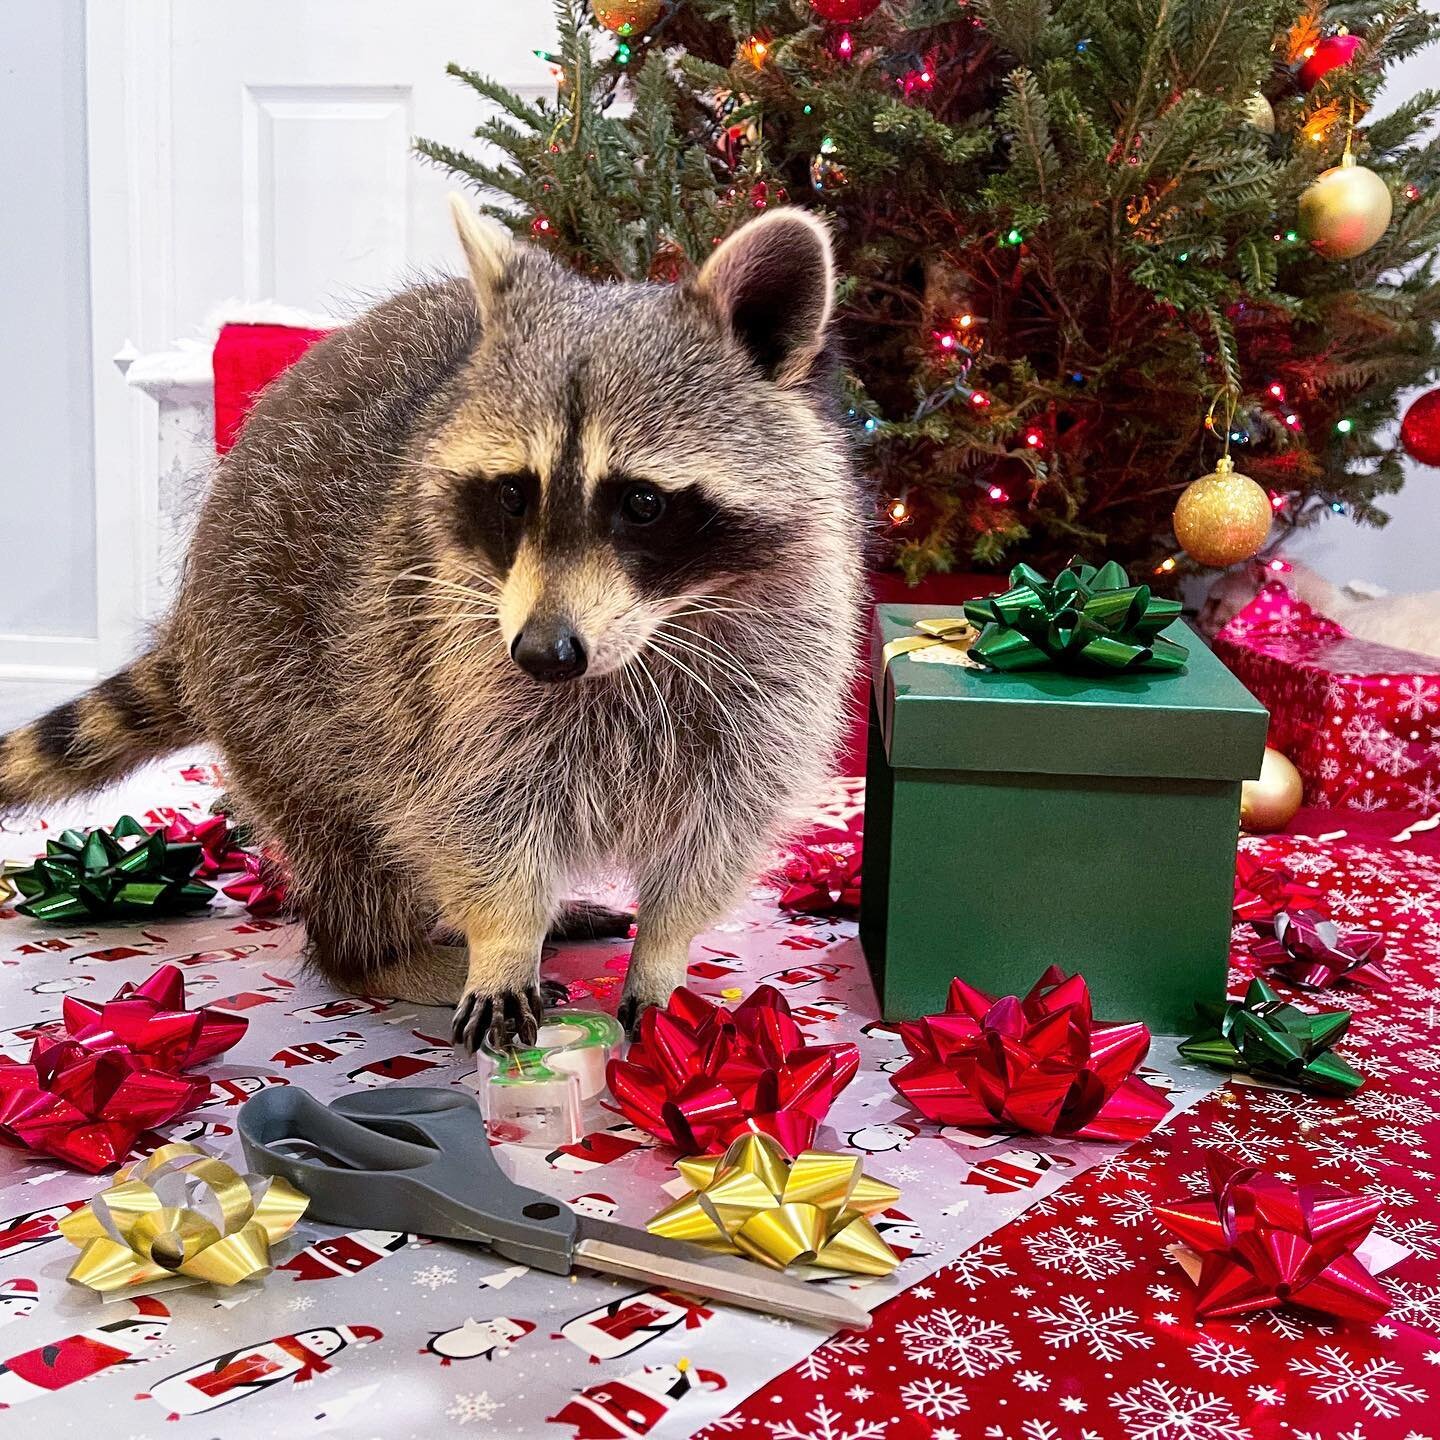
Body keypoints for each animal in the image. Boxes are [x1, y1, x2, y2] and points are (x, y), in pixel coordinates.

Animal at [0, 197, 858, 1048]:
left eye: (642, 503)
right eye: (513, 494)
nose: (543, 653)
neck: (645, 638)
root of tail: (190, 624)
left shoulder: (780, 664)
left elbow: (717, 831)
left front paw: (664, 952)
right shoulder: (442, 649)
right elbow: (469, 808)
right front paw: (503, 938)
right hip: (276, 679)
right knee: (349, 833)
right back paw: (379, 953)